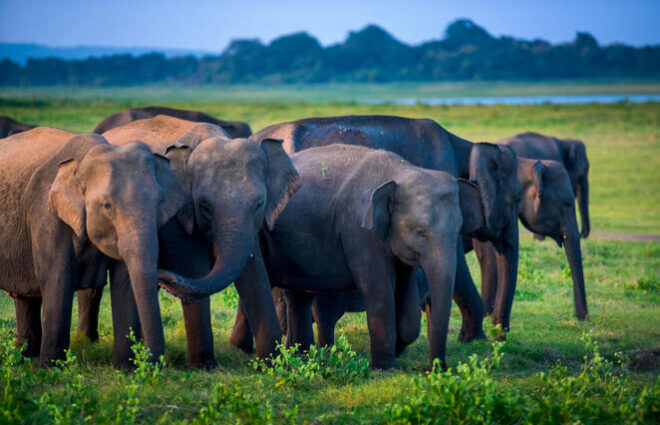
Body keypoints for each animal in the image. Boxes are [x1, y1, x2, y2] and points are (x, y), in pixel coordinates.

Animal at [0, 127, 188, 366]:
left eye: (159, 203)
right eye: (107, 206)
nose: (151, 363)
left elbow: (125, 283)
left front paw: (124, 369)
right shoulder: (46, 215)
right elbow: (57, 280)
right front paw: (51, 369)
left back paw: (24, 356)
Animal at [78, 114, 302, 366]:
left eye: (259, 204)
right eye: (204, 206)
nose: (162, 275)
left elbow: (254, 275)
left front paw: (272, 365)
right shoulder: (179, 217)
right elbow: (194, 268)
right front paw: (204, 367)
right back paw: (86, 343)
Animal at [240, 143, 482, 368]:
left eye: (459, 229)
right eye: (420, 231)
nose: (435, 369)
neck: (402, 172)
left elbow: (406, 300)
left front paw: (398, 349)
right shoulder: (359, 230)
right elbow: (377, 286)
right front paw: (387, 369)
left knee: (299, 295)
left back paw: (302, 355)